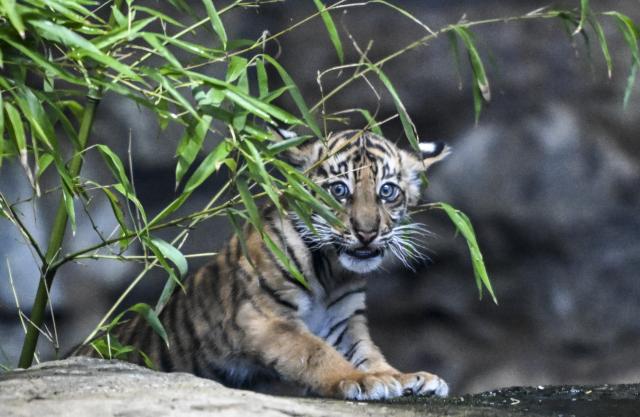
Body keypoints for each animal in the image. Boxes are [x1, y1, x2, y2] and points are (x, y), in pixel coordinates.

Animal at [78, 129, 451, 400]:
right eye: (339, 190)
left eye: (387, 191)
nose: (367, 233)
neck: (331, 272)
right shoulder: (264, 318)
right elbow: (315, 353)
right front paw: (361, 380)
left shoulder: (345, 322)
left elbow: (370, 354)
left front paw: (407, 377)